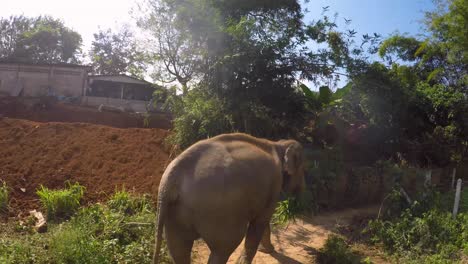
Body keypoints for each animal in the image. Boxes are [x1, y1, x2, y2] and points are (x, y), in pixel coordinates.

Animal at [153, 133, 308, 262]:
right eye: (302, 170)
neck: (278, 144)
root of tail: (172, 177)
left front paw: (268, 250)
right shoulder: (274, 184)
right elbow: (261, 221)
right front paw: (268, 251)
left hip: (174, 213)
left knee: (179, 250)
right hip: (220, 213)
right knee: (223, 249)